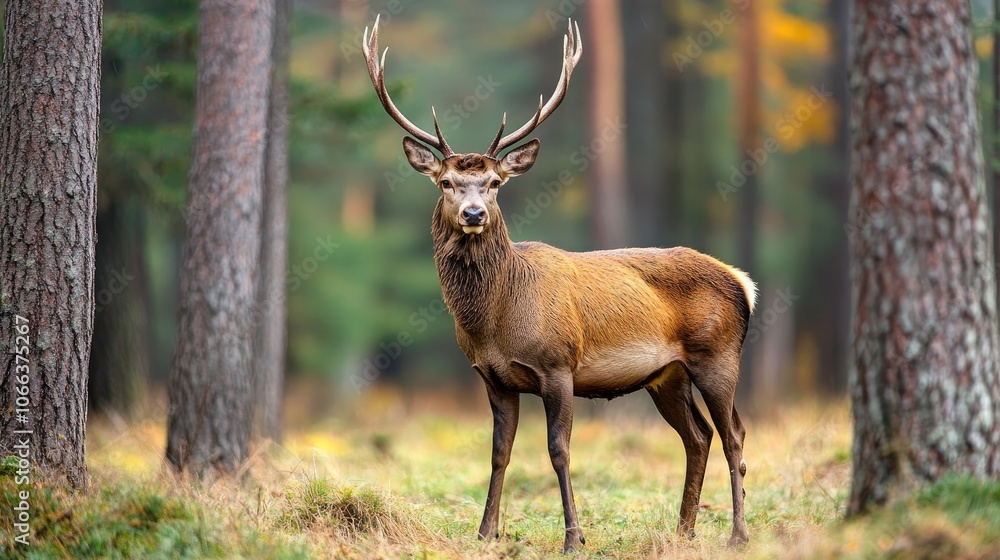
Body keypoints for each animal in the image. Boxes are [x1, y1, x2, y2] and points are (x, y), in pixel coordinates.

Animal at [363, 16, 754, 553]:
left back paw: (737, 535)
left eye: (495, 183)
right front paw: (485, 532)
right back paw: (683, 531)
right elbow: (499, 453)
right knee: (698, 437)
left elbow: (559, 450)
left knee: (734, 434)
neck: (495, 320)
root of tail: (742, 282)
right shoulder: (492, 377)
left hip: (718, 355)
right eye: (445, 182)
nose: (474, 214)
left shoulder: (558, 365)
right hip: (667, 375)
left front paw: (574, 537)